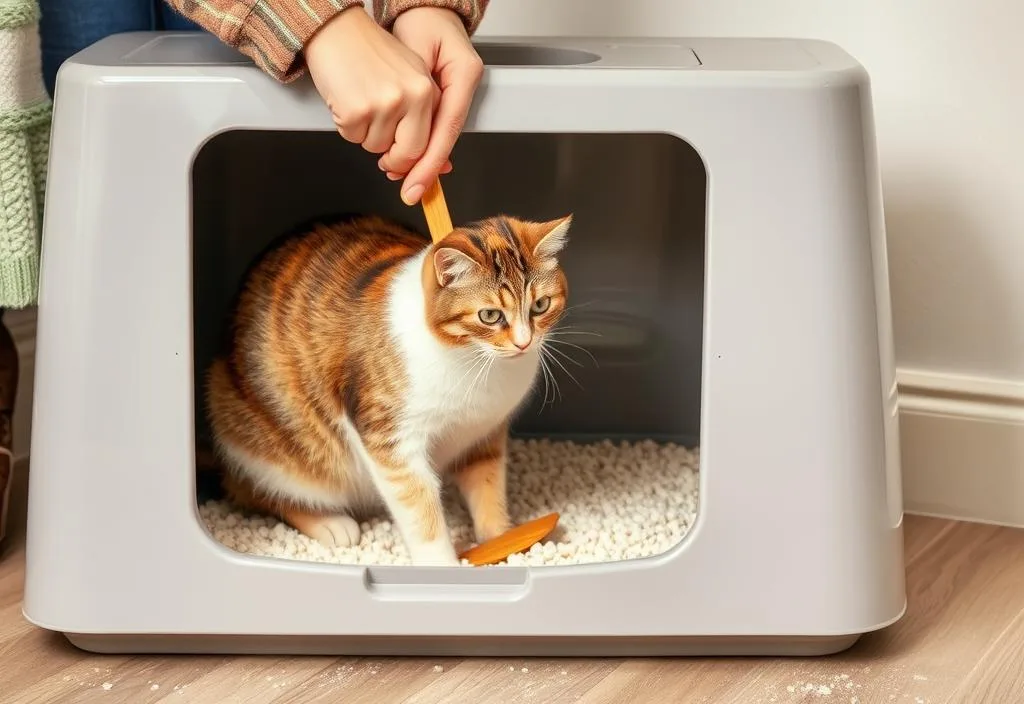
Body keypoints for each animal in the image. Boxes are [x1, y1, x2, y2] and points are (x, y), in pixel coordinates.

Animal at [205, 211, 577, 564]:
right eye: (489, 315)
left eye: (540, 305)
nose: (523, 343)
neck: (474, 361)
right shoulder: (390, 438)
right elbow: (418, 504)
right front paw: (441, 564)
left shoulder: (483, 432)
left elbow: (487, 486)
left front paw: (502, 539)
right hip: (272, 446)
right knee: (257, 491)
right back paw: (329, 523)